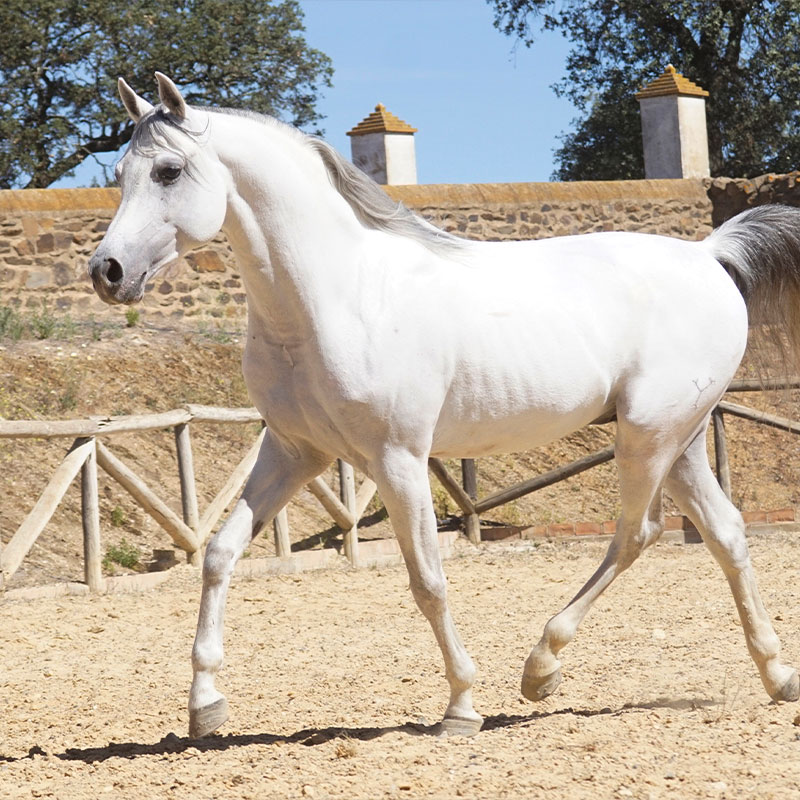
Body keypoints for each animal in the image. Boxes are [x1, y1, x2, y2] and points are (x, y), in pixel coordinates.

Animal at [90, 75, 796, 736]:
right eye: (119, 175)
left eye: (168, 170)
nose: (108, 272)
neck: (338, 297)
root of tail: (707, 255)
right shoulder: (294, 453)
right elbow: (219, 555)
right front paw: (205, 706)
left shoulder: (397, 459)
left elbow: (427, 579)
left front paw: (461, 705)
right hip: (680, 439)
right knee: (725, 532)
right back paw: (776, 675)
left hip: (647, 436)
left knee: (636, 533)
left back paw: (540, 669)